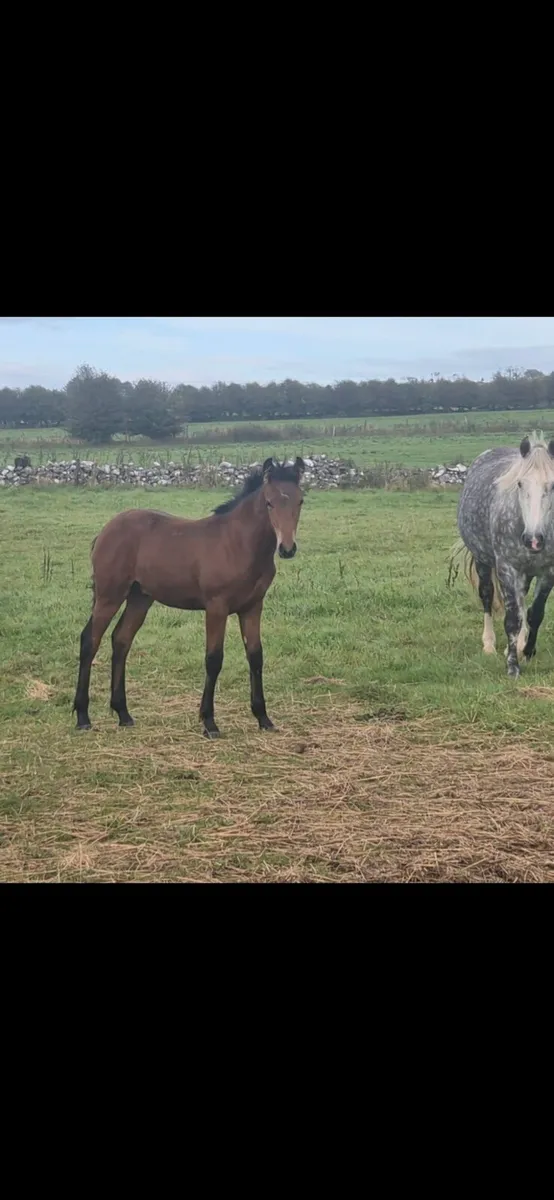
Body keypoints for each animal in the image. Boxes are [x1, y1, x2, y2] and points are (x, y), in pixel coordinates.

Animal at [72, 456, 305, 736]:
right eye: (269, 502)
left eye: (300, 501)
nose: (287, 549)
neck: (238, 543)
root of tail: (106, 530)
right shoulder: (216, 607)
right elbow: (214, 659)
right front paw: (209, 722)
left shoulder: (252, 607)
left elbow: (256, 656)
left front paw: (263, 718)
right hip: (110, 595)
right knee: (90, 640)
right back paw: (83, 716)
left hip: (140, 598)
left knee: (121, 640)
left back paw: (123, 713)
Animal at [457, 433, 554, 676]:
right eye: (519, 483)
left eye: (553, 485)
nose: (533, 540)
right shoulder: (507, 568)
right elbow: (511, 619)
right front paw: (512, 666)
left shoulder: (549, 572)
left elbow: (534, 613)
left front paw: (527, 651)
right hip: (483, 561)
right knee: (487, 596)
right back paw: (489, 644)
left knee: (521, 600)